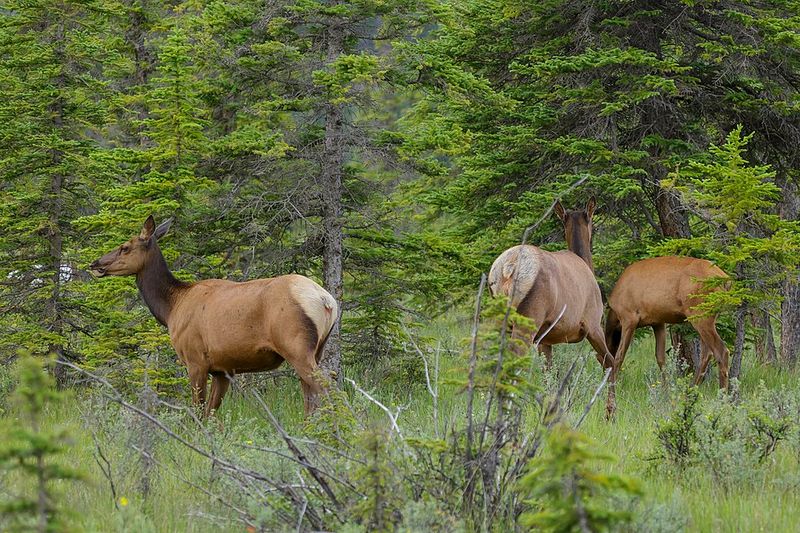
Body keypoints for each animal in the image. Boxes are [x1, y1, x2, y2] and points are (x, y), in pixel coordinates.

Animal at [90, 215, 338, 416]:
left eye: (125, 247)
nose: (95, 263)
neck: (171, 308)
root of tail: (327, 301)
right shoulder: (222, 369)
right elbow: (212, 413)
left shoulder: (195, 360)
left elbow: (199, 412)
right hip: (317, 349)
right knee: (311, 395)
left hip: (295, 346)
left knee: (326, 387)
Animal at [488, 198, 618, 417]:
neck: (585, 262)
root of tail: (507, 269)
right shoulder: (592, 324)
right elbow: (609, 362)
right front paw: (610, 412)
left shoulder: (545, 340)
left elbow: (549, 376)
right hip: (528, 319)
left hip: (499, 321)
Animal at [604, 256, 730, 389]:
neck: (615, 315)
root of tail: (725, 281)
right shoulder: (658, 322)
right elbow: (660, 357)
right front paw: (666, 389)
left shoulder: (629, 317)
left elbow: (619, 357)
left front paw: (612, 387)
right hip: (705, 317)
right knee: (706, 354)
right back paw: (691, 388)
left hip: (700, 314)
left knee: (721, 351)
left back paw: (722, 392)